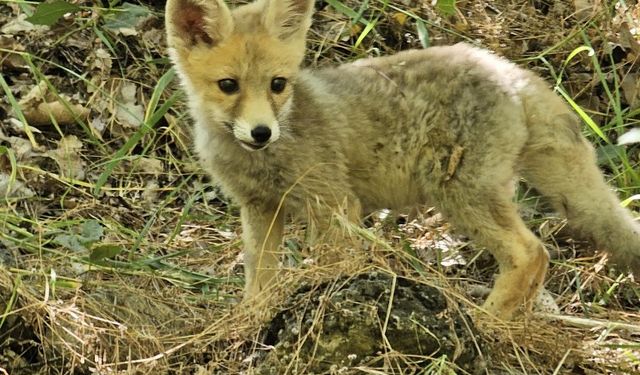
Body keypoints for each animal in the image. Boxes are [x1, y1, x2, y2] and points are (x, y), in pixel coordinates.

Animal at [165, 0, 640, 320]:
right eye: (228, 85)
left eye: (277, 84)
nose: (262, 133)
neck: (262, 161)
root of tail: (508, 69)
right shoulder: (260, 207)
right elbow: (258, 279)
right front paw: (248, 323)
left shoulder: (333, 205)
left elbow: (334, 268)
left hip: (461, 195)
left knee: (532, 253)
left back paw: (486, 324)